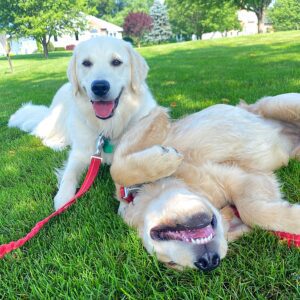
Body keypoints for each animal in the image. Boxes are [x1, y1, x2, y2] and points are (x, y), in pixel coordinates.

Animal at [110, 93, 300, 272]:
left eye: (159, 235)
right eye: (172, 264)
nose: (208, 263)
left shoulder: (146, 123)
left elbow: (117, 169)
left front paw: (165, 158)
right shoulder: (248, 177)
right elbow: (251, 212)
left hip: (277, 104)